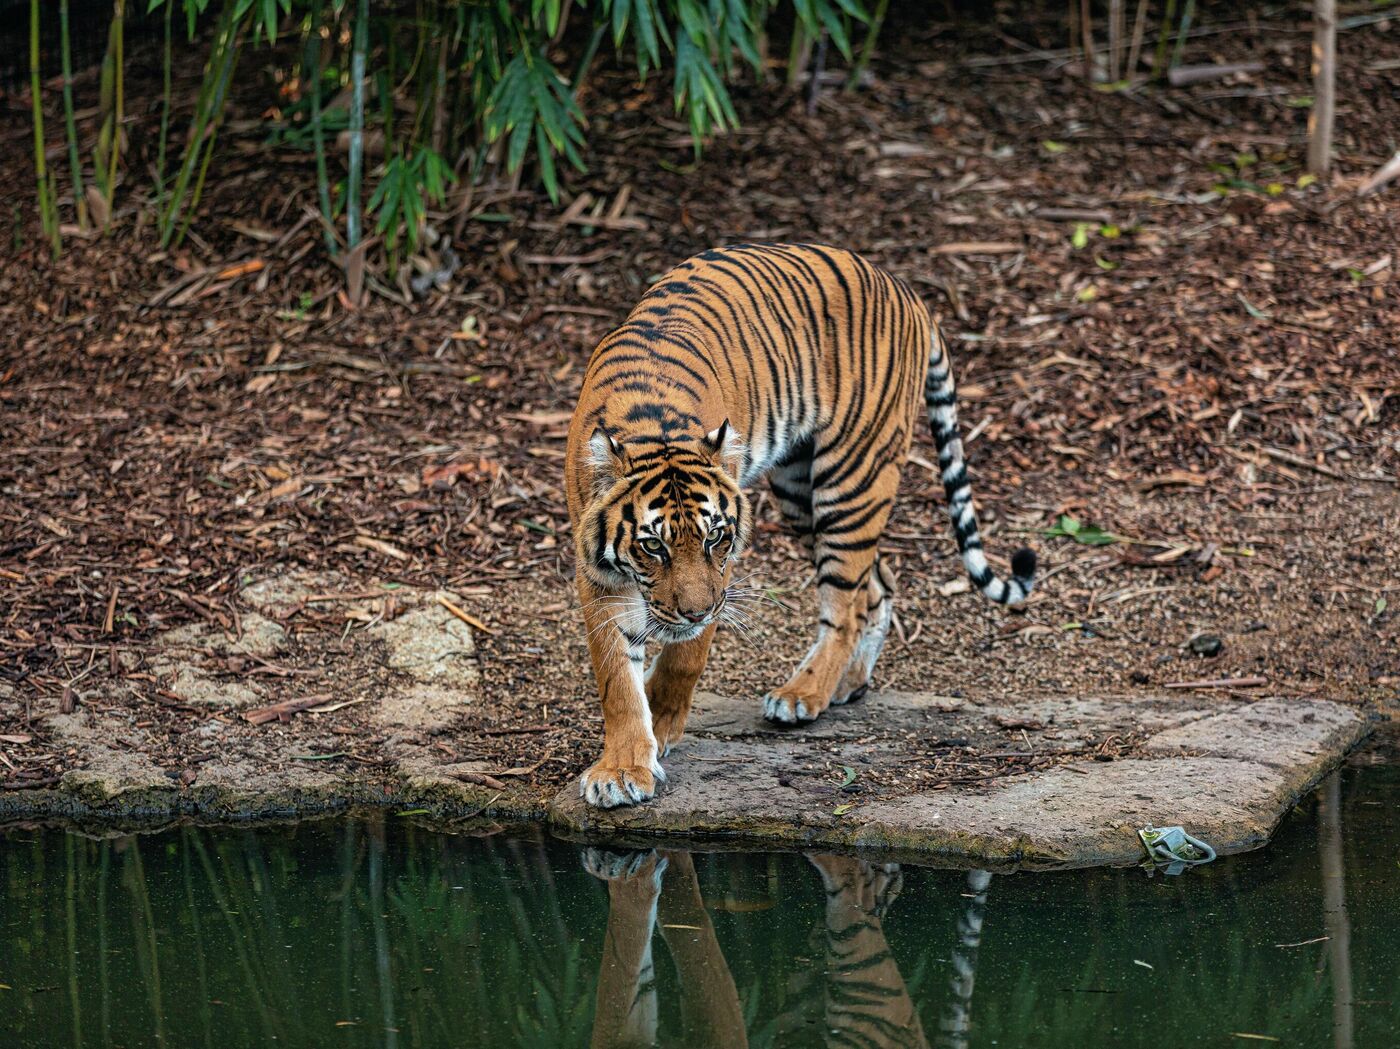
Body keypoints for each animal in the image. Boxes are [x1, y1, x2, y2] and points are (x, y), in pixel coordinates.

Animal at [562, 240, 1036, 806]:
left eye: (715, 538)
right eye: (653, 547)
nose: (696, 611)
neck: (652, 427)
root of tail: (905, 290)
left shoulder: (722, 572)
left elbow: (685, 657)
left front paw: (662, 721)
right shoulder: (597, 574)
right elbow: (616, 678)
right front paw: (622, 768)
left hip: (852, 478)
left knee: (846, 604)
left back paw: (803, 694)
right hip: (798, 489)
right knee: (876, 584)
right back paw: (847, 683)